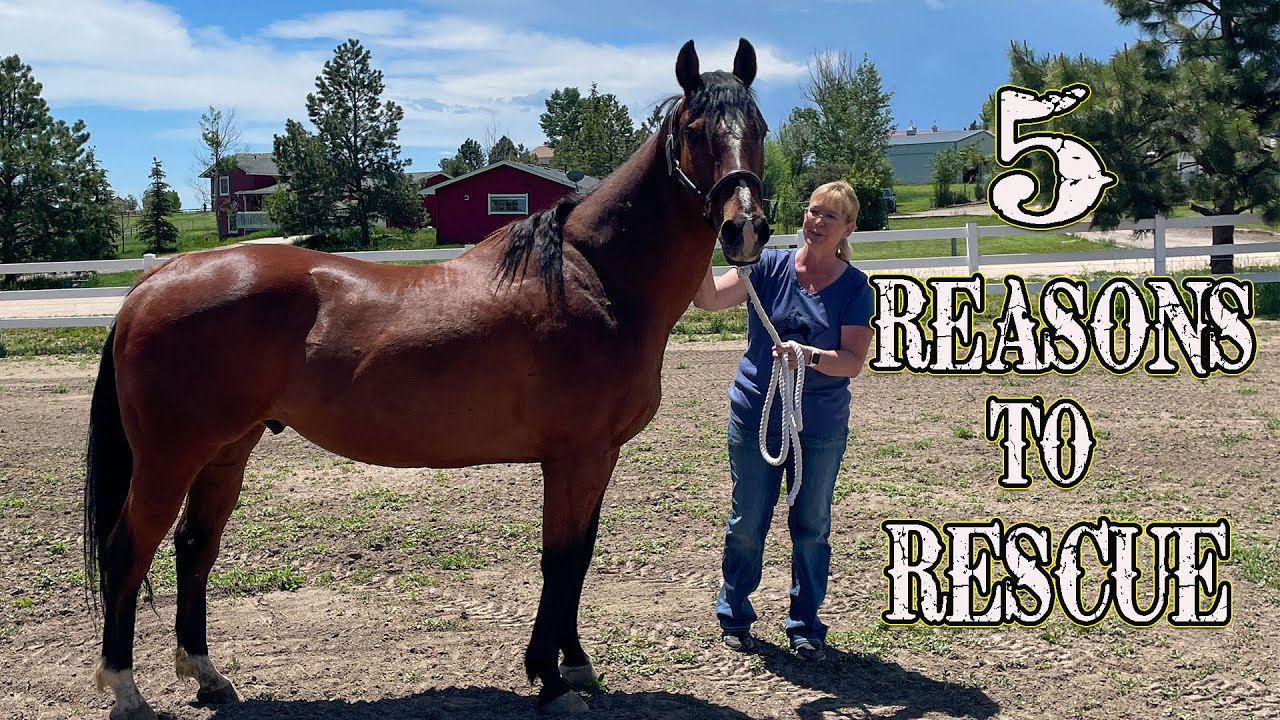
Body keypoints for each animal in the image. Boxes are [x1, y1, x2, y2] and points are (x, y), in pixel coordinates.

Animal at [83, 38, 771, 718]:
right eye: (696, 130)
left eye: (759, 128)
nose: (746, 228)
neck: (592, 278)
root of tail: (156, 279)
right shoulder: (575, 456)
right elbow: (560, 560)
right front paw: (550, 680)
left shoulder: (599, 457)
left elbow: (579, 556)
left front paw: (574, 665)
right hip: (170, 459)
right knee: (128, 550)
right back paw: (126, 692)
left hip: (226, 452)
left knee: (194, 547)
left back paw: (206, 675)